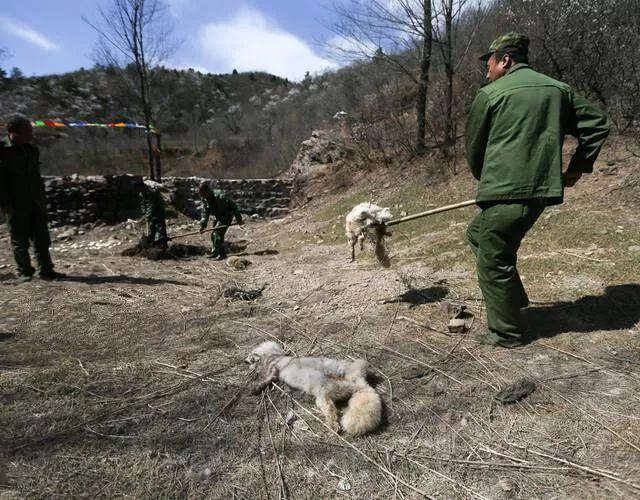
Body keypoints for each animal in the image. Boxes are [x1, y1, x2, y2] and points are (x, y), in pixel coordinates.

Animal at [248, 342, 382, 436]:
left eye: (250, 355)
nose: (245, 361)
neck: (274, 356)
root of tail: (357, 383)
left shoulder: (273, 371)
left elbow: (265, 380)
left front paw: (255, 388)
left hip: (323, 395)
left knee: (330, 410)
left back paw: (333, 426)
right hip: (349, 368)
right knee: (361, 367)